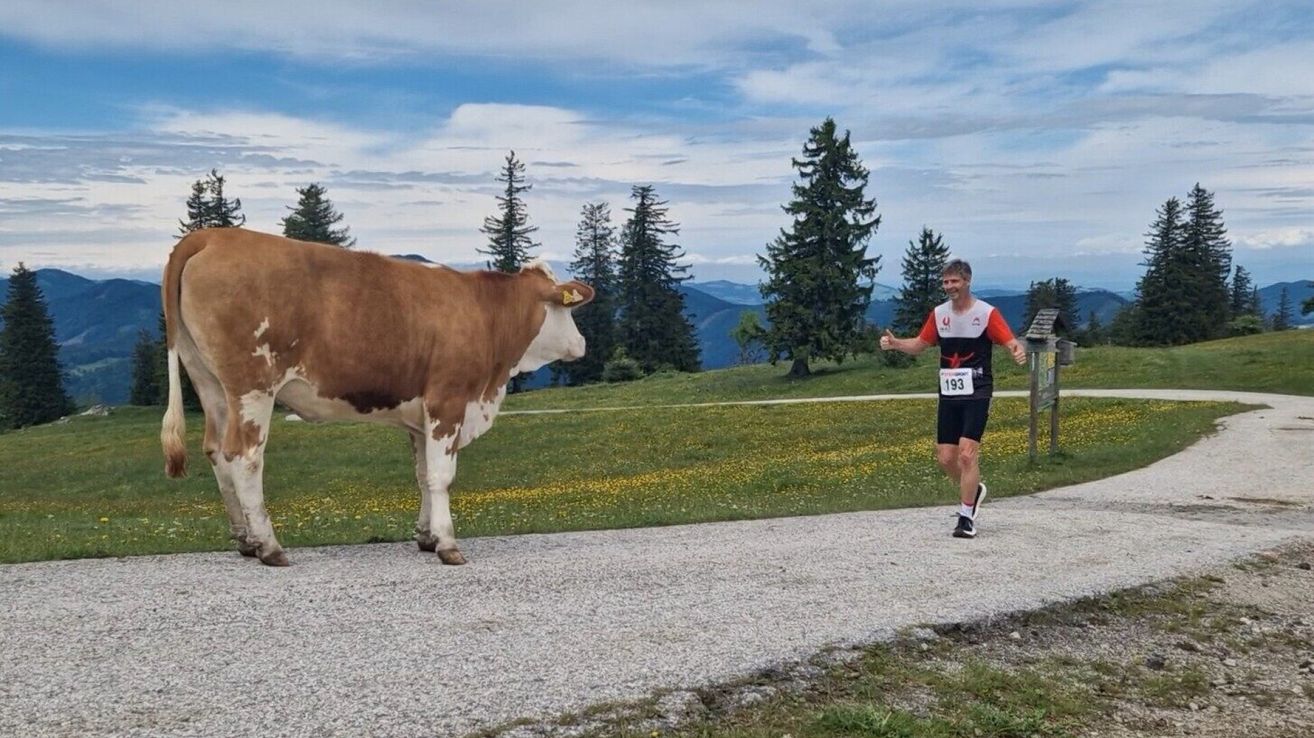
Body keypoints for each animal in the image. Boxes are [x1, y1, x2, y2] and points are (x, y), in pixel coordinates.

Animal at [159, 228, 594, 566]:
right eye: (566, 311)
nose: (582, 344)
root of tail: (212, 235)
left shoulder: (419, 417)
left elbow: (422, 475)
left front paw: (426, 536)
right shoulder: (448, 401)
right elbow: (441, 476)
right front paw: (448, 544)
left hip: (210, 384)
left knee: (217, 453)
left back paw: (246, 541)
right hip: (252, 385)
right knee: (245, 458)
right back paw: (269, 546)